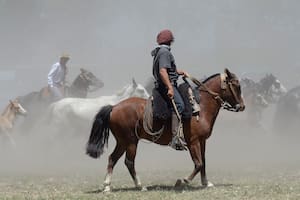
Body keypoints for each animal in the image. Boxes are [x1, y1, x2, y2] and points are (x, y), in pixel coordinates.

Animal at [85, 68, 245, 192]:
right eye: (236, 85)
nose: (242, 106)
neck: (200, 106)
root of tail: (114, 107)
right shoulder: (193, 142)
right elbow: (198, 163)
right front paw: (182, 181)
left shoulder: (202, 141)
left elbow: (203, 162)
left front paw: (206, 183)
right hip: (131, 141)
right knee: (129, 162)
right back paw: (140, 185)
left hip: (122, 142)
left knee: (113, 158)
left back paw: (107, 186)